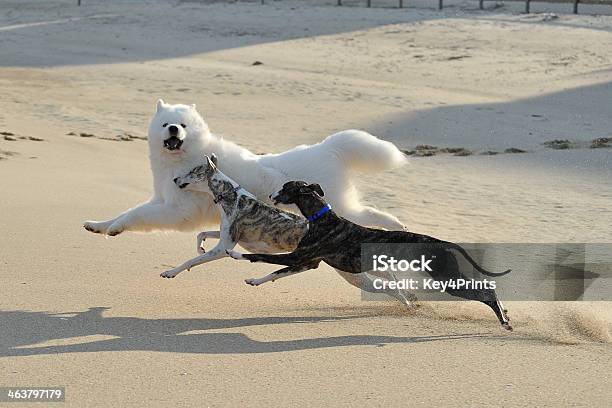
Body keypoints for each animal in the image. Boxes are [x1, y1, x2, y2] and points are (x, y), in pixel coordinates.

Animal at [82, 99, 406, 239]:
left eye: (183, 125)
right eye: (165, 124)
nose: (174, 128)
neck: (183, 157)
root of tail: (326, 147)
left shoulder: (178, 210)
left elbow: (136, 215)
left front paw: (115, 228)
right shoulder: (161, 199)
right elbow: (130, 211)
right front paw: (101, 225)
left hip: (335, 206)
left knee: (367, 215)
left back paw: (396, 224)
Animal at [227, 182, 512, 332]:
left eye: (286, 188)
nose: (270, 195)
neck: (323, 219)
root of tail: (444, 243)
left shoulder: (298, 257)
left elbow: (259, 256)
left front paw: (234, 252)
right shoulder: (306, 262)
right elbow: (275, 273)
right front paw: (254, 281)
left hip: (446, 278)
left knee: (486, 292)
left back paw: (504, 320)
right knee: (485, 288)